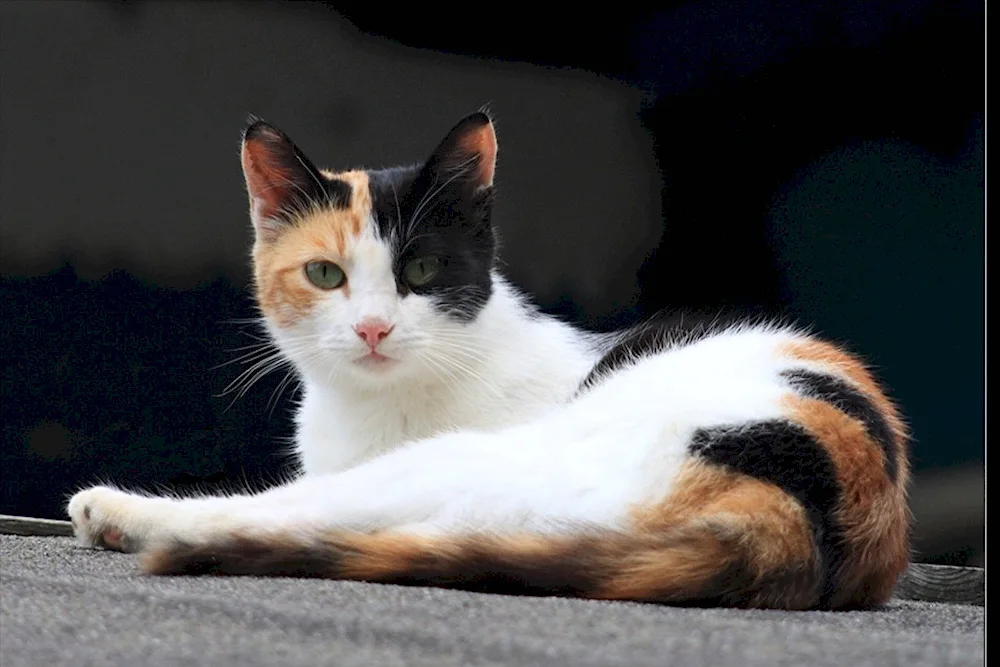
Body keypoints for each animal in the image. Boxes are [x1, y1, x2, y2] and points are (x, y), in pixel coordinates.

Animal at [68, 111, 916, 612]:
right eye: (325, 274)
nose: (372, 328)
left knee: (300, 510)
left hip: (487, 463)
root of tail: (811, 523)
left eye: (421, 271)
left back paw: (128, 515)